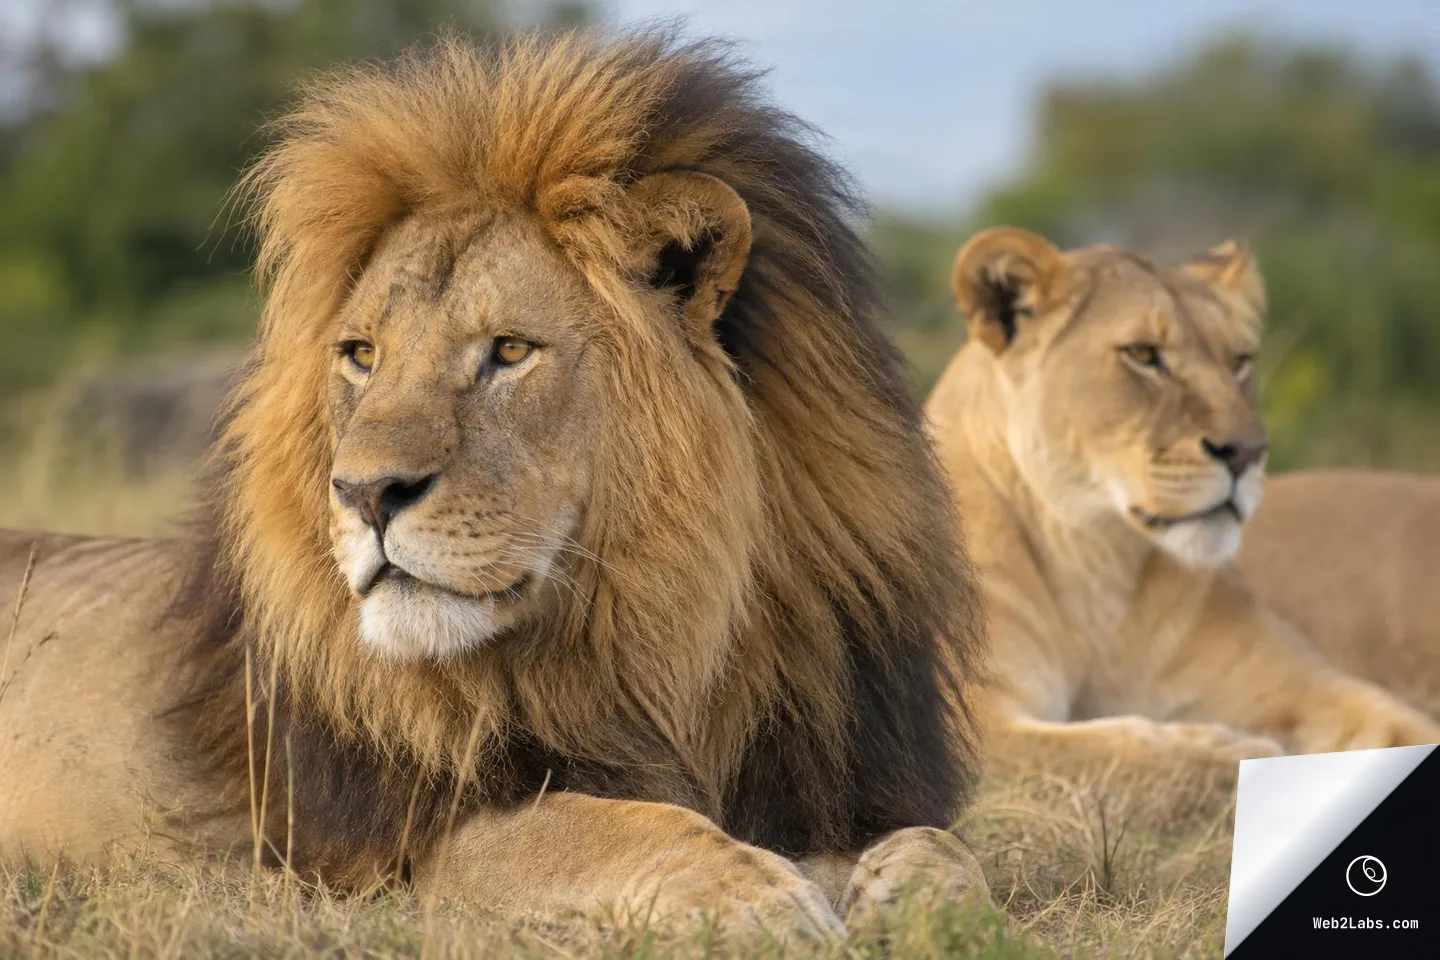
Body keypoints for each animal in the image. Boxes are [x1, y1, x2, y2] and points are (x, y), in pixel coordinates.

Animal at [0, 32, 990, 938]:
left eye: (509, 351)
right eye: (362, 355)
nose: (364, 493)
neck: (664, 632)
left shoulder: (822, 778)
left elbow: (942, 846)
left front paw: (915, 896)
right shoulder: (410, 839)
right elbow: (616, 826)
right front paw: (756, 895)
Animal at [924, 226, 1440, 782]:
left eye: (1239, 362)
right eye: (1144, 354)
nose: (1248, 452)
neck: (1097, 569)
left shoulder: (1310, 687)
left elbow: (1406, 726)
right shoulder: (966, 720)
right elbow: (1118, 749)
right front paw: (1240, 750)